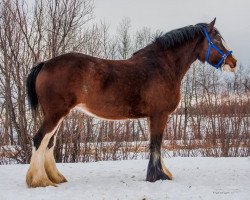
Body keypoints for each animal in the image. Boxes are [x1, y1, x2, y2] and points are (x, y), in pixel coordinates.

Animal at [26, 17, 237, 188]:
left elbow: (155, 144)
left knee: (49, 142)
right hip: (55, 114)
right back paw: (39, 180)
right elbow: (156, 144)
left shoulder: (154, 116)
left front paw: (161, 173)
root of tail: (45, 64)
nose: (233, 62)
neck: (163, 66)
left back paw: (55, 177)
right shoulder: (160, 115)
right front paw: (157, 176)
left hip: (57, 115)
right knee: (39, 139)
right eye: (217, 40)